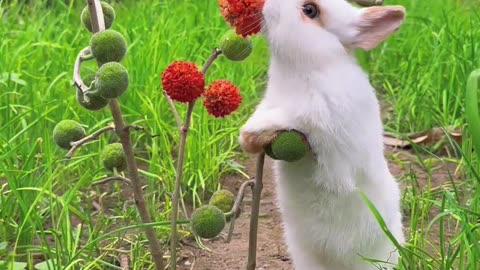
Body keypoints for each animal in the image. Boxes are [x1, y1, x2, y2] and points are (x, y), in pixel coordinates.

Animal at [239, 1, 404, 268]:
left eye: (310, 10)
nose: (264, 4)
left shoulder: (319, 116)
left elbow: (291, 117)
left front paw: (249, 134)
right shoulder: (272, 103)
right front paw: (251, 140)